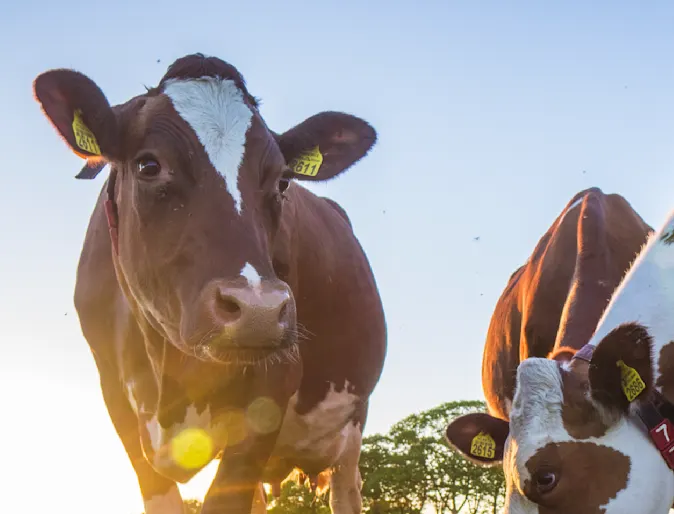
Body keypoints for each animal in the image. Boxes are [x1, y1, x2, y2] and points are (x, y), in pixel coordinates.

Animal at [34, 53, 386, 512]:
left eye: (282, 181)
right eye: (149, 165)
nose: (258, 310)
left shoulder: (274, 383)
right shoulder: (116, 397)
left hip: (350, 429)